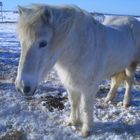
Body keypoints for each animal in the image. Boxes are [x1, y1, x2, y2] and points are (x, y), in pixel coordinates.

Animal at [15, 3, 140, 137]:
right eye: (22, 42)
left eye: (43, 43)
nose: (22, 87)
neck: (80, 49)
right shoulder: (70, 83)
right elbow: (74, 102)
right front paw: (73, 122)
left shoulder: (89, 87)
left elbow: (85, 106)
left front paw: (86, 130)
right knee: (115, 82)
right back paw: (108, 99)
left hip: (131, 65)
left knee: (129, 82)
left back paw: (126, 102)